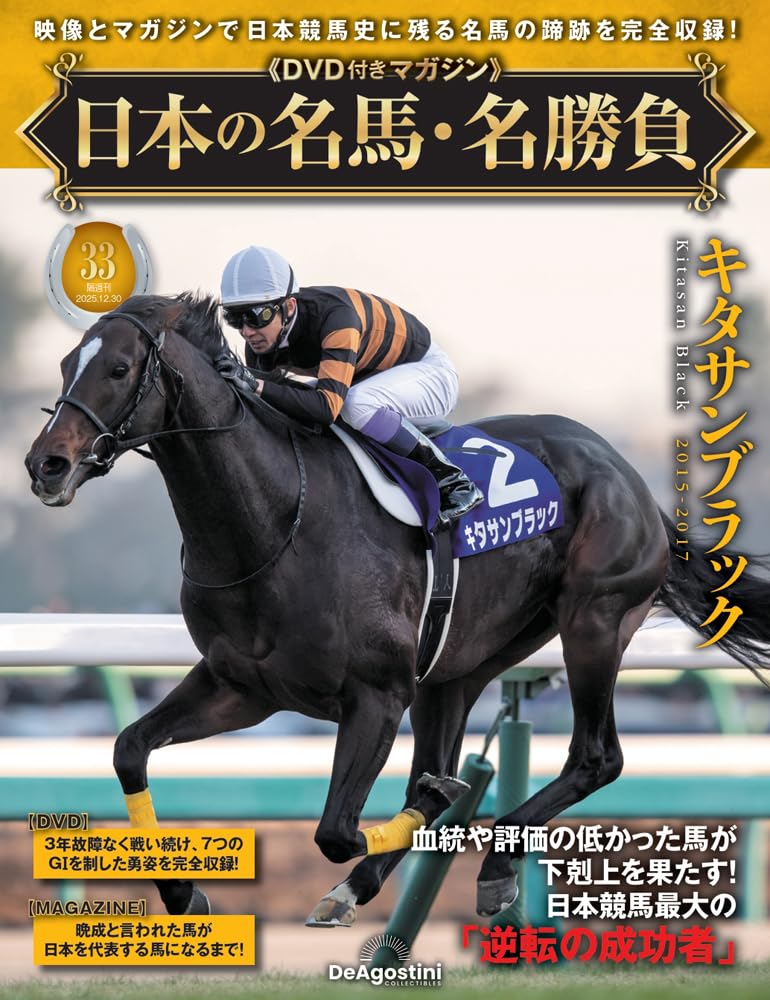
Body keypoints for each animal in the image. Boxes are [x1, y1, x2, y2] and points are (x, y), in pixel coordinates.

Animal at [25, 293, 770, 924]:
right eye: (64, 365)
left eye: (120, 368)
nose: (45, 465)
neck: (273, 523)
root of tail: (628, 475)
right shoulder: (242, 686)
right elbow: (129, 748)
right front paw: (184, 894)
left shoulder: (377, 693)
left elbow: (335, 830)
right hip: (461, 666)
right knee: (449, 753)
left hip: (594, 620)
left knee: (596, 757)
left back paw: (491, 862)